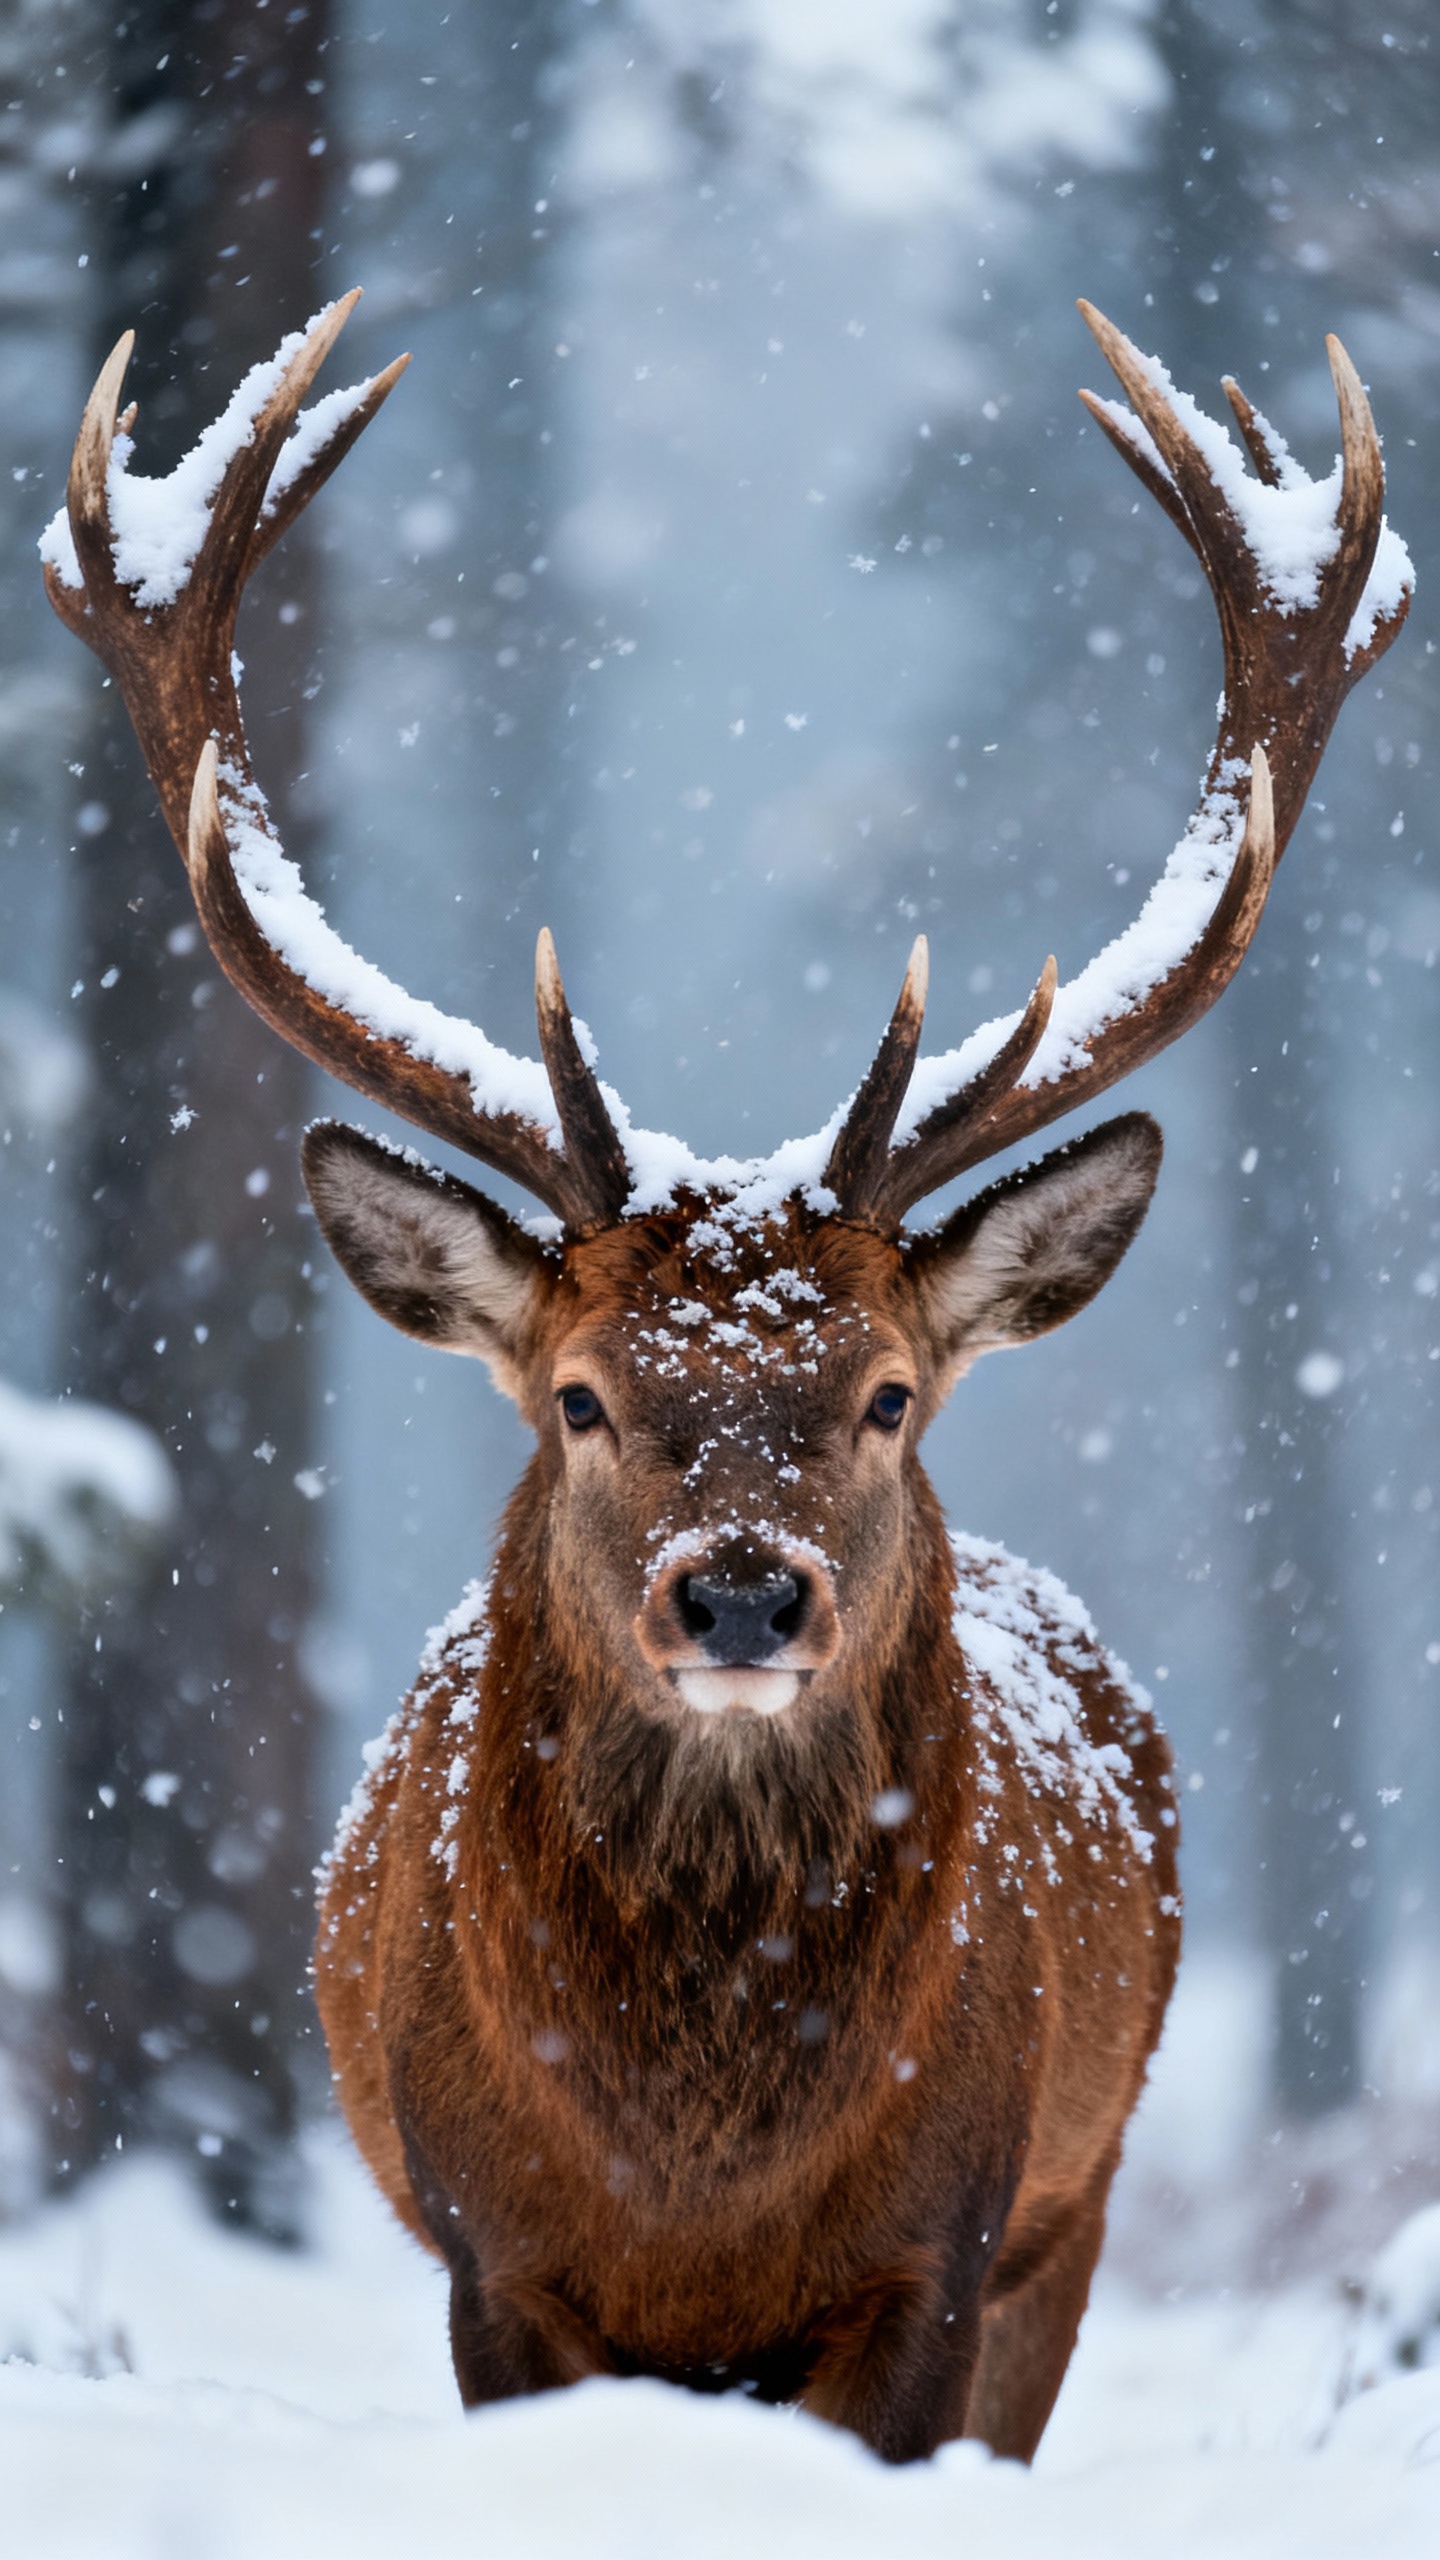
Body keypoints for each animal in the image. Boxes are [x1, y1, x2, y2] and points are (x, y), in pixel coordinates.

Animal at [45, 291, 1410, 2463]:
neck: (696, 2182)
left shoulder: (943, 2250)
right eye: (581, 1395)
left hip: (1084, 2203)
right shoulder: (491, 2257)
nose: (746, 1591)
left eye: (888, 1395)